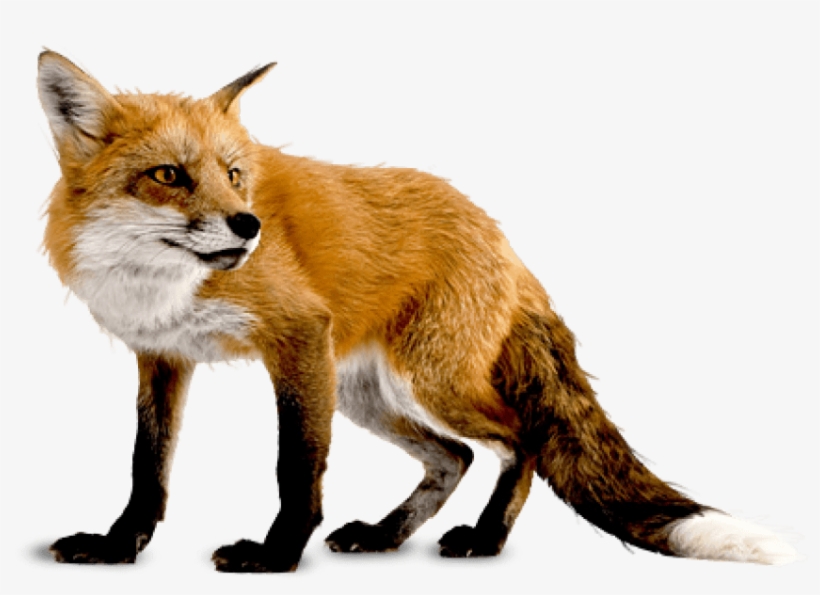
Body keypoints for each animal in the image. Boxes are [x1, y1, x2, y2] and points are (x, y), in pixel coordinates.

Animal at [37, 50, 797, 573]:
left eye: (233, 175)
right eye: (168, 175)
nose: (248, 226)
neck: (160, 282)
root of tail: (501, 238)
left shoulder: (296, 335)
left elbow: (295, 466)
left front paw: (276, 555)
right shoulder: (164, 357)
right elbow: (148, 468)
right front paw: (119, 545)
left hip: (426, 380)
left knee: (518, 438)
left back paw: (487, 538)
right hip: (361, 393)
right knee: (453, 456)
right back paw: (386, 533)